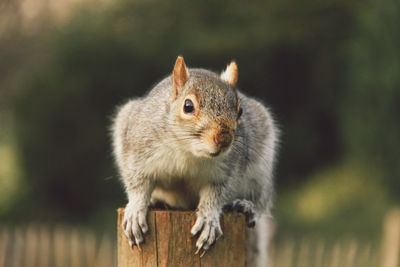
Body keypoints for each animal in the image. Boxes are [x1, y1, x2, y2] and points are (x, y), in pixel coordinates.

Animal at [111, 56, 276, 267]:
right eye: (188, 106)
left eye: (240, 110)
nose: (224, 139)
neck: (188, 151)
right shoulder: (137, 153)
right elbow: (138, 184)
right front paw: (135, 211)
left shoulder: (227, 170)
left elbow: (216, 194)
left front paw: (208, 219)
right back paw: (156, 201)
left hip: (260, 168)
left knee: (261, 199)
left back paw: (246, 206)